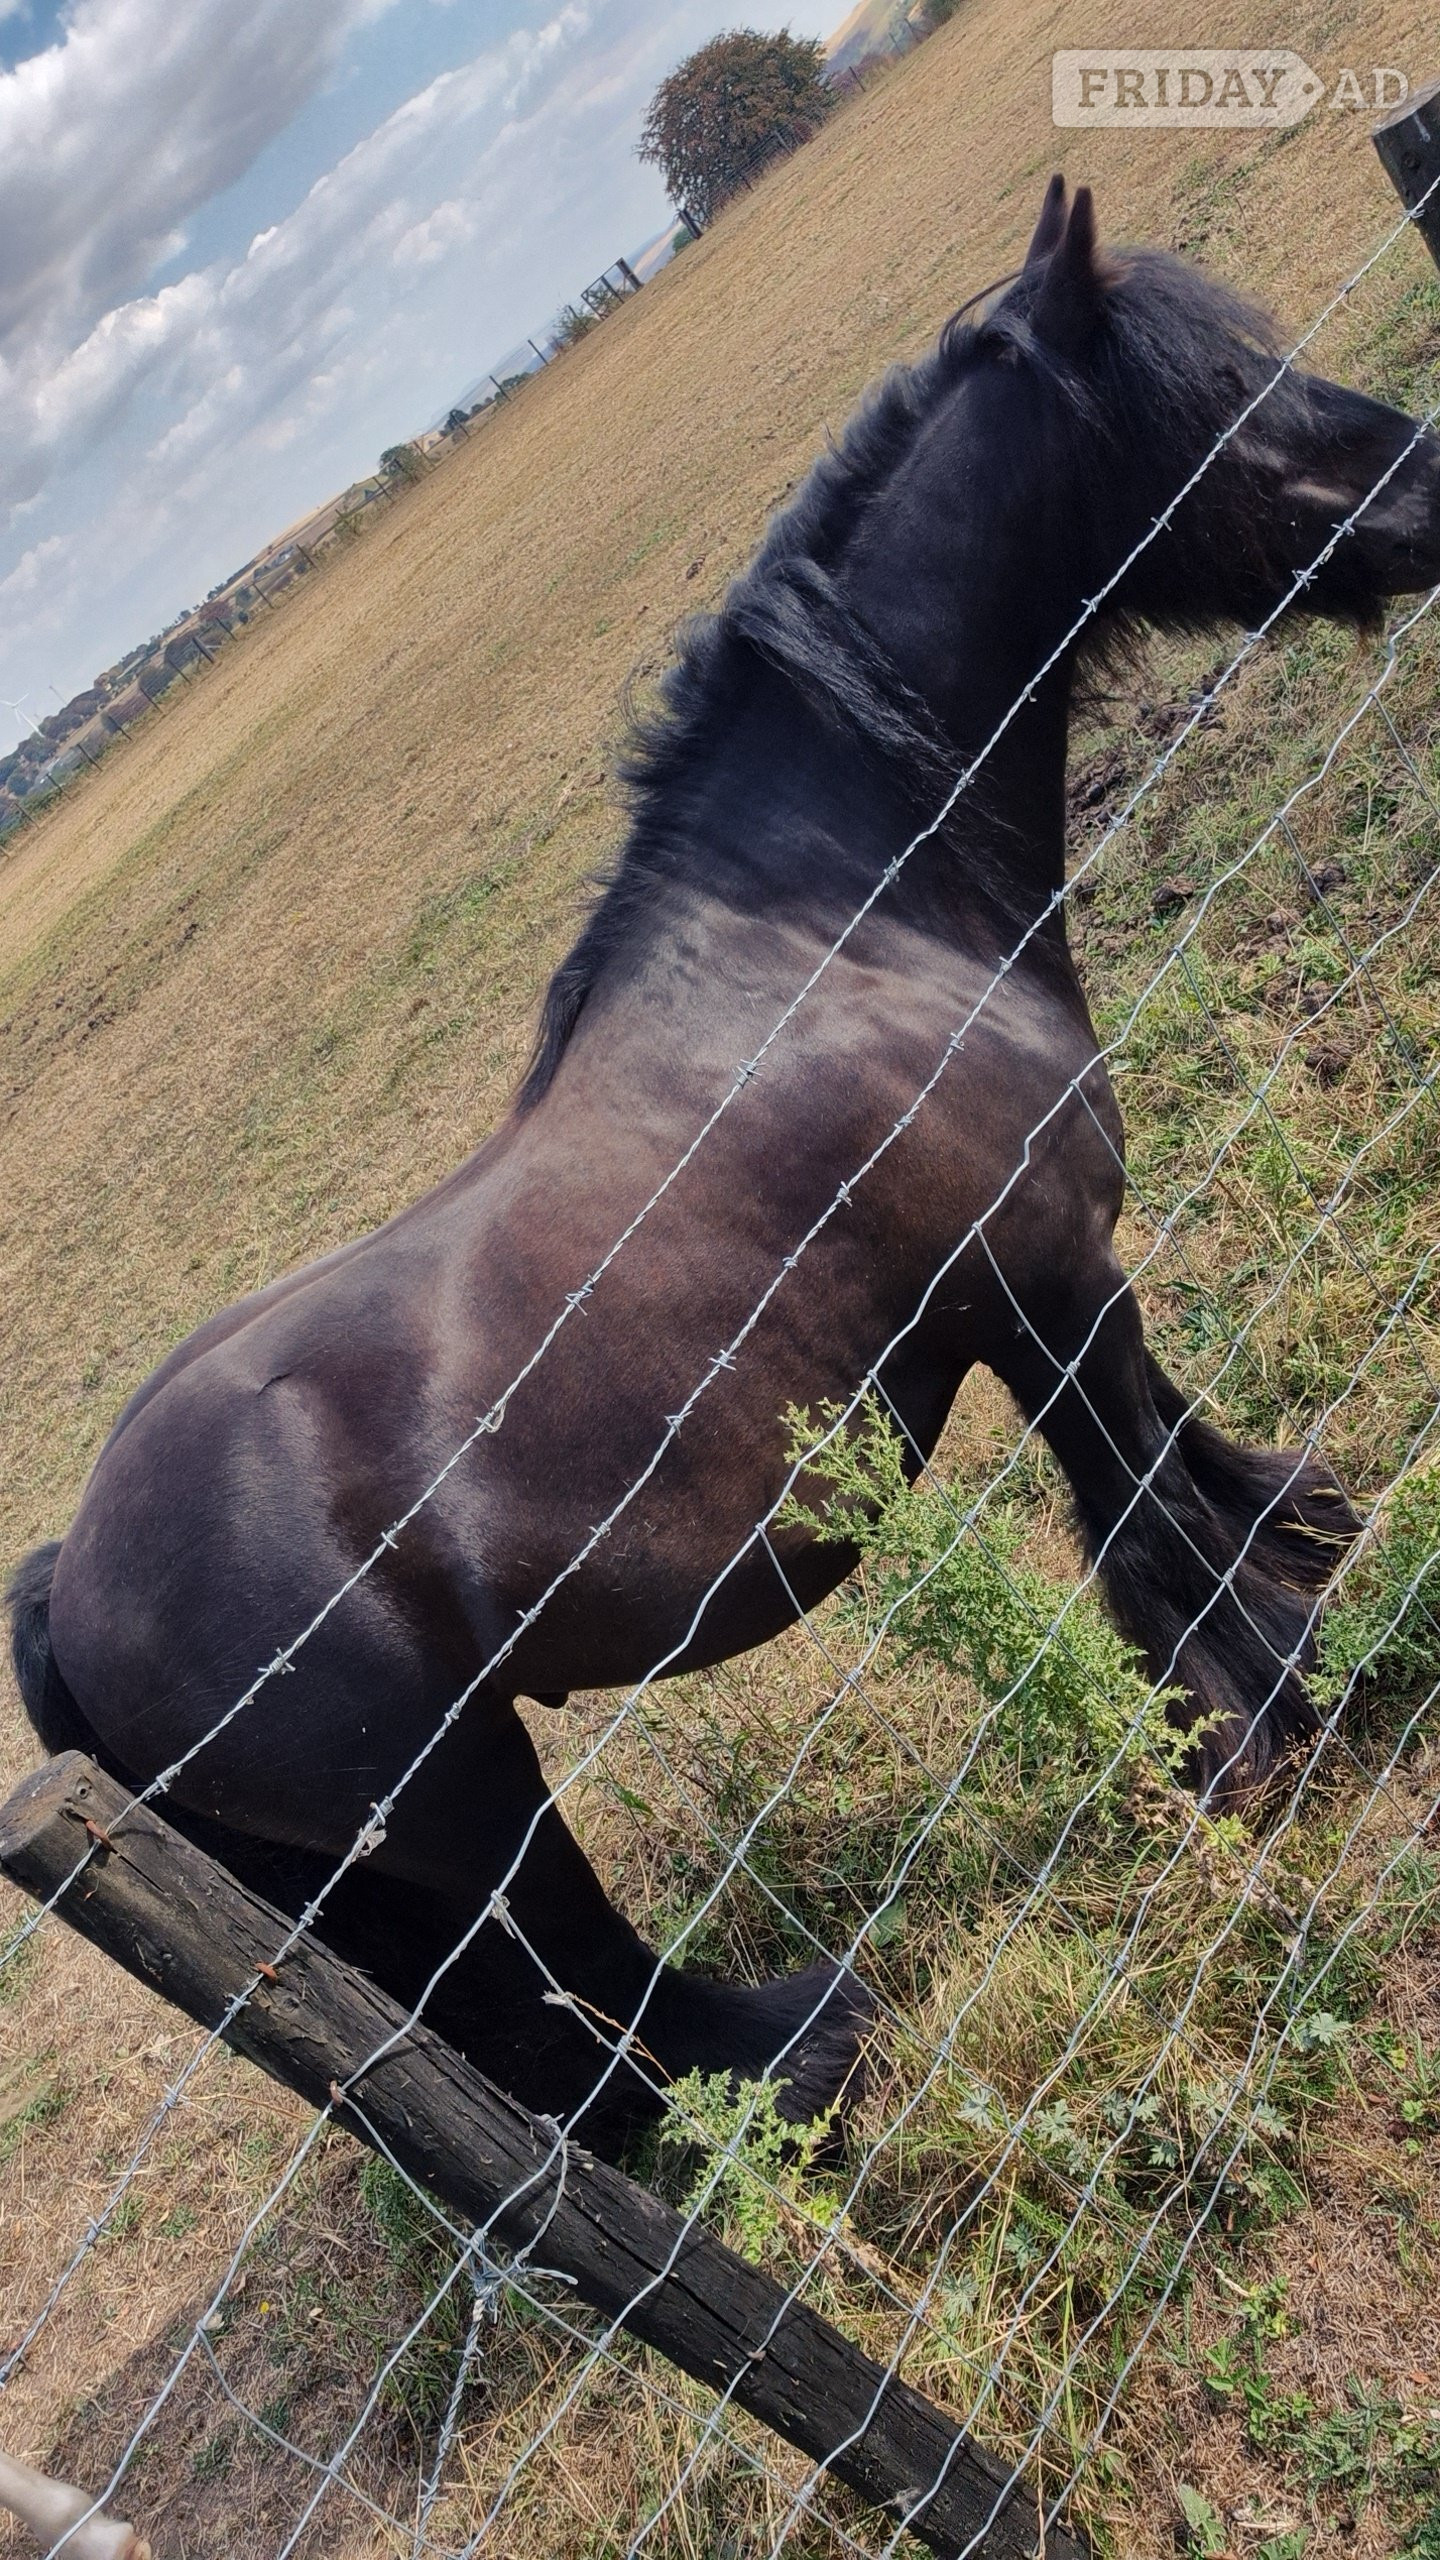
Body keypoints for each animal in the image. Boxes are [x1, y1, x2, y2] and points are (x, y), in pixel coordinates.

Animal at [11, 182, 1440, 2154]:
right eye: (1220, 388)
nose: (1433, 482)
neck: (837, 933)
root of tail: (67, 1585)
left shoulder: (1067, 1283)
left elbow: (1191, 1448)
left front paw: (1314, 1546)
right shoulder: (1041, 1296)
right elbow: (1145, 1517)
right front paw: (1261, 1721)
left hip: (378, 1873)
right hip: (462, 1811)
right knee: (581, 1987)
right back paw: (803, 2061)